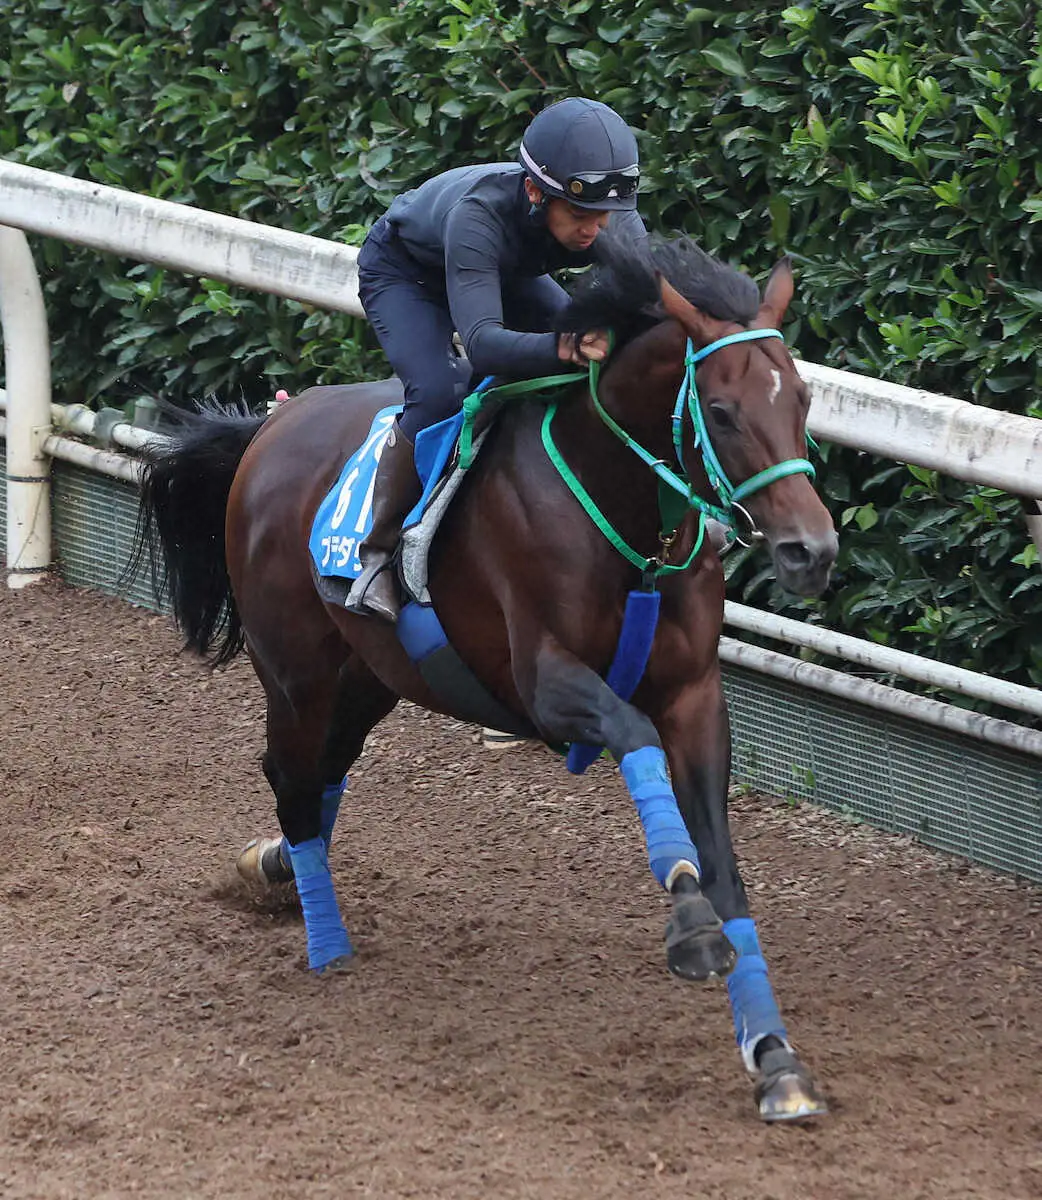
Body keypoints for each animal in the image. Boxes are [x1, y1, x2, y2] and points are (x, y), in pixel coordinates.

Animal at [136, 234, 840, 1123]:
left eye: (803, 399)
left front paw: (775, 1058)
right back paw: (325, 940)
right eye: (720, 411)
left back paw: (276, 869)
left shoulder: (695, 698)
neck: (624, 516)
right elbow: (637, 745)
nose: (810, 551)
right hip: (296, 675)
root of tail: (275, 424)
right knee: (291, 779)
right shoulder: (545, 686)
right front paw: (688, 922)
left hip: (372, 675)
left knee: (322, 776)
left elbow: (729, 875)